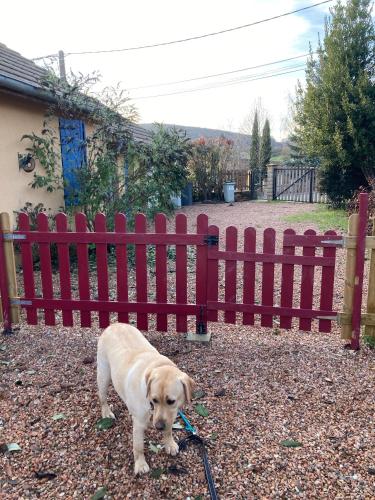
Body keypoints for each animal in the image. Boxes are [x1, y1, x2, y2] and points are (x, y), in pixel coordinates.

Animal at [95, 322, 195, 474]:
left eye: (171, 401)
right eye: (154, 400)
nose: (158, 427)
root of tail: (115, 324)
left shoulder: (171, 414)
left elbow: (169, 431)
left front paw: (169, 444)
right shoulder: (138, 424)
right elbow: (138, 447)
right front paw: (140, 464)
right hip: (104, 374)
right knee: (102, 397)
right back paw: (106, 412)